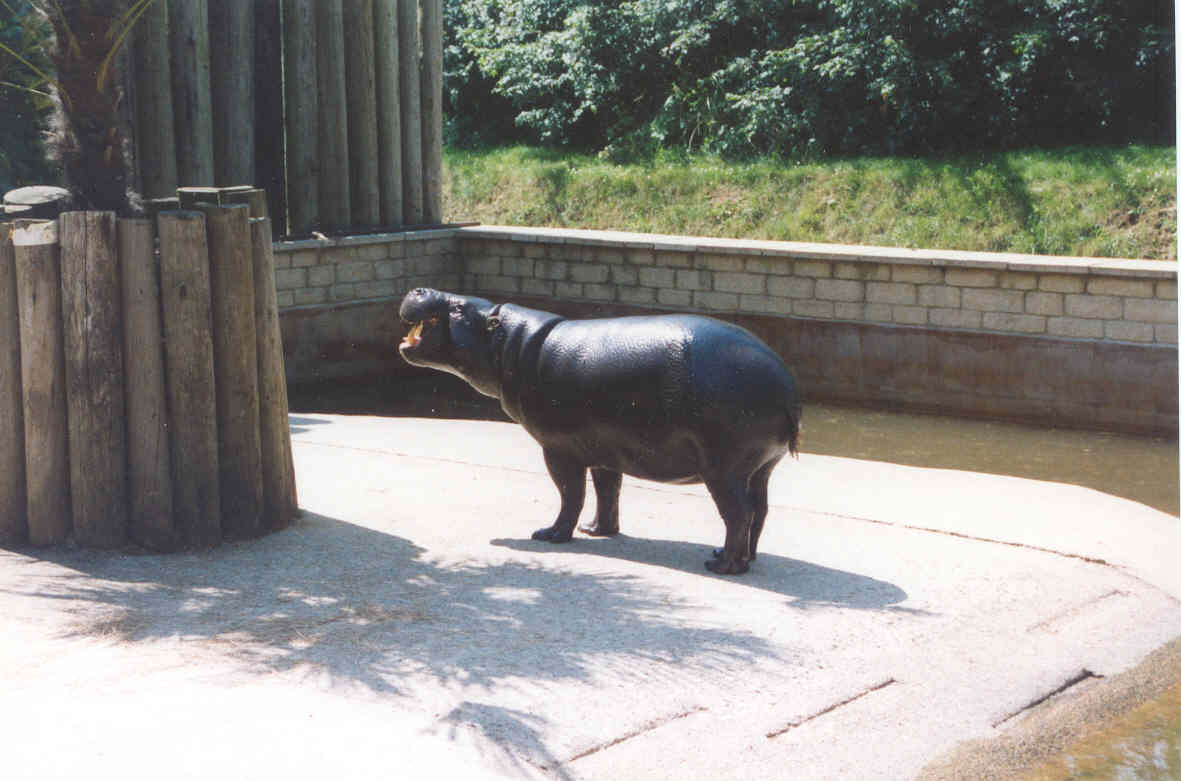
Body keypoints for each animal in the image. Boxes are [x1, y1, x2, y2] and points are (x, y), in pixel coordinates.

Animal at [398, 288, 802, 574]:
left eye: (458, 308)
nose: (418, 288)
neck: (509, 343)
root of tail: (784, 381)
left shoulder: (559, 449)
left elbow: (570, 494)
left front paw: (551, 536)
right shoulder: (606, 448)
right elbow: (608, 492)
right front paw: (597, 531)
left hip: (724, 468)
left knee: (738, 513)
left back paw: (721, 566)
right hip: (760, 466)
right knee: (759, 510)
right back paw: (743, 559)